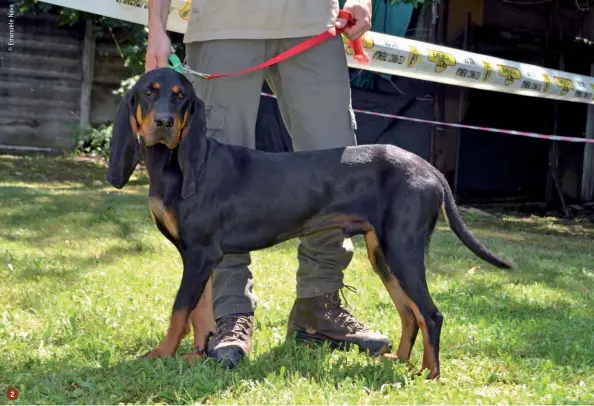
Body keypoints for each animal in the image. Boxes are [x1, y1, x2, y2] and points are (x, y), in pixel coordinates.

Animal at [105, 67, 508, 380]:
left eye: (180, 98)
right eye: (148, 92)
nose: (163, 123)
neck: (175, 164)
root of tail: (430, 170)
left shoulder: (200, 254)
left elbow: (178, 311)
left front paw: (160, 355)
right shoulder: (200, 257)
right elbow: (198, 312)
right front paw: (195, 355)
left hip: (402, 249)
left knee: (431, 314)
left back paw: (429, 375)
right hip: (384, 255)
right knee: (410, 313)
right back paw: (399, 360)